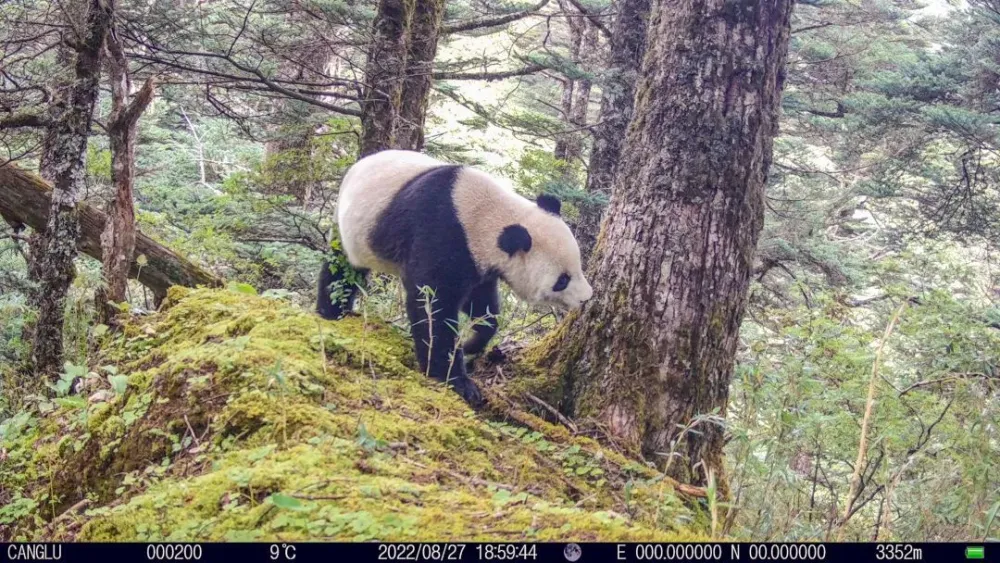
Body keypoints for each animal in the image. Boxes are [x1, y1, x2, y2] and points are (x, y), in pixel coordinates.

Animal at [316, 148, 588, 408]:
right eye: (562, 280)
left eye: (579, 266)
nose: (587, 298)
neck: (490, 216)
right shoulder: (442, 231)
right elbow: (433, 305)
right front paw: (457, 381)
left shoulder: (477, 258)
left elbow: (481, 303)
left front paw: (471, 344)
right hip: (352, 226)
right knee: (341, 269)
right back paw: (331, 311)